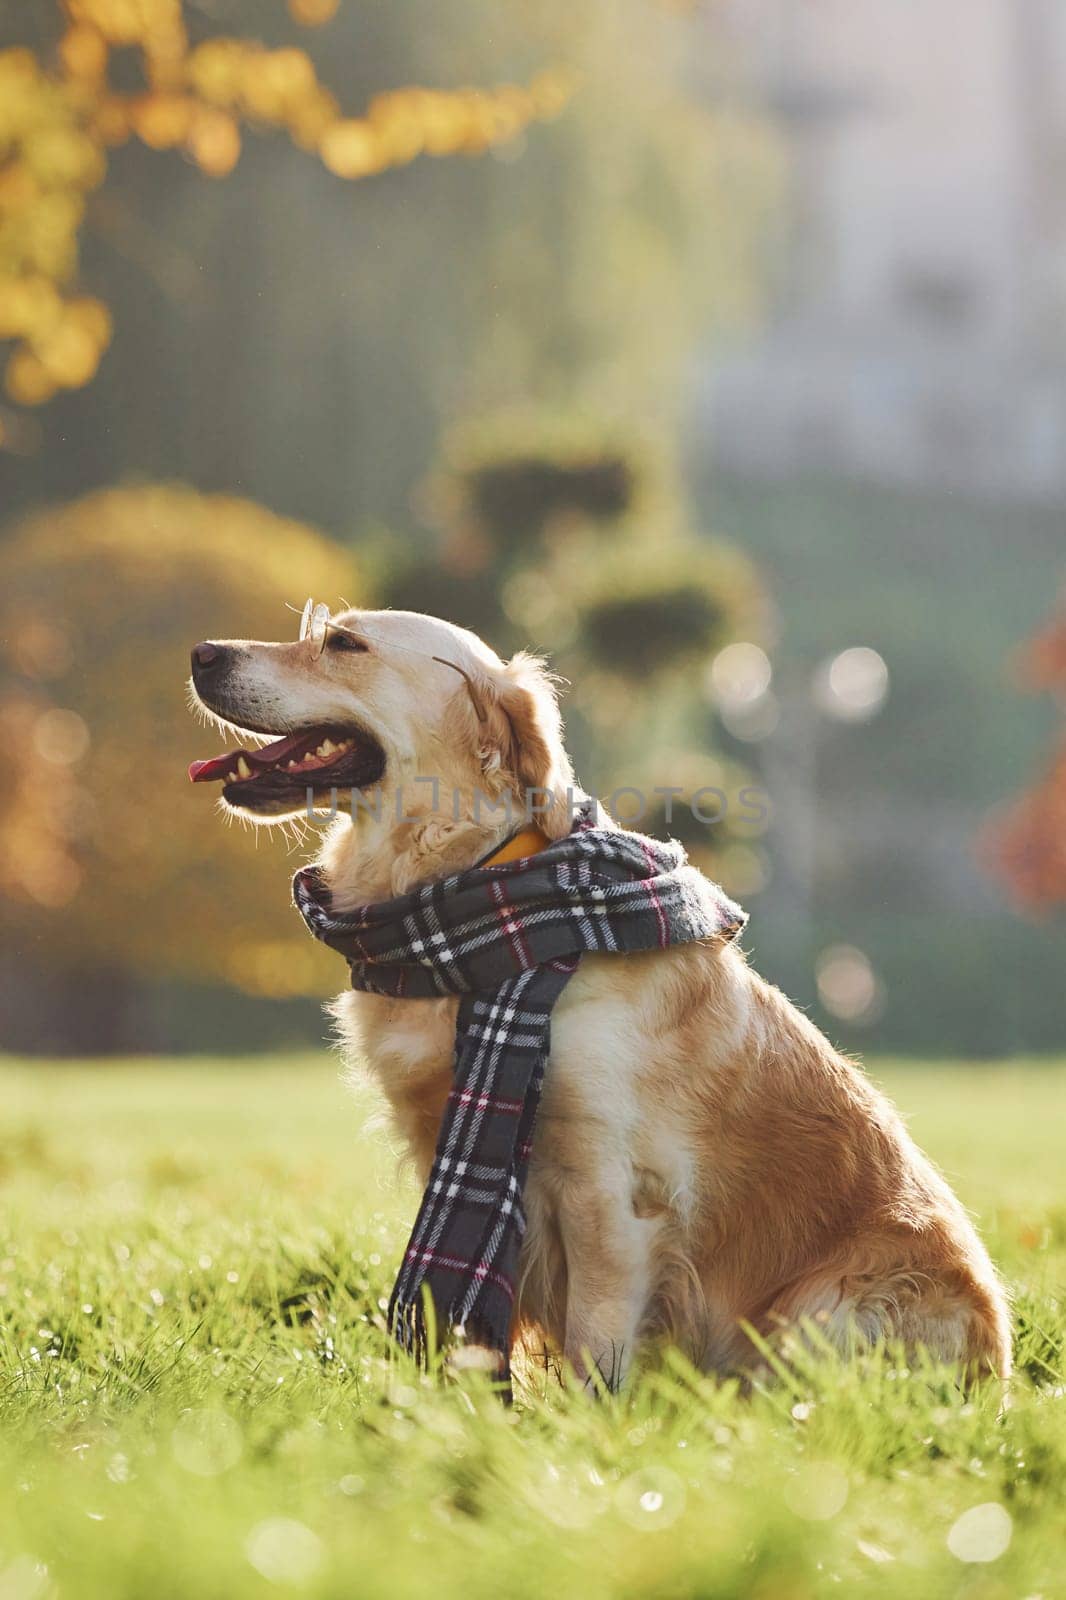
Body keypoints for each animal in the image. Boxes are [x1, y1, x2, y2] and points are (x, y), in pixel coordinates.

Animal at [186, 604, 1011, 1382]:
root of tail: (999, 1381)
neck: (478, 910)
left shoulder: (610, 1194)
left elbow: (593, 1353)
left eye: (345, 645)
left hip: (821, 1309)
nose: (201, 653)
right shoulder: (456, 1157)